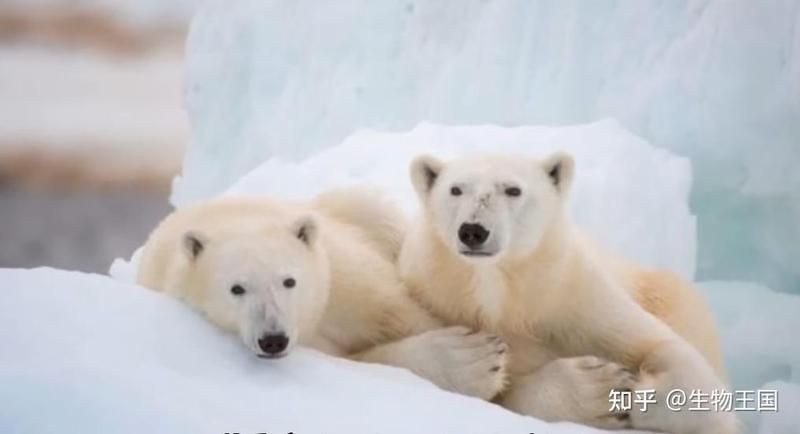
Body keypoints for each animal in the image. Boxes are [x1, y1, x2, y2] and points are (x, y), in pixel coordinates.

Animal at [136, 188, 508, 401]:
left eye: (289, 281)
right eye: (236, 289)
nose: (273, 339)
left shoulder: (344, 278)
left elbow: (403, 313)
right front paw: (474, 361)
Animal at [398, 152, 736, 434]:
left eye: (513, 190)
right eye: (455, 189)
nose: (473, 230)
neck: (501, 293)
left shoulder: (572, 296)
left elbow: (662, 345)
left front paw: (634, 392)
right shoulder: (440, 300)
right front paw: (599, 390)